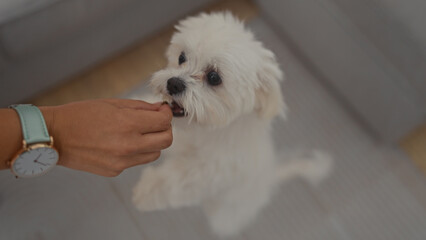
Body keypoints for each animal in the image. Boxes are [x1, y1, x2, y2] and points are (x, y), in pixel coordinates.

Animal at [131, 12, 332, 237]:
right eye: (181, 57)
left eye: (214, 77)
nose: (173, 83)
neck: (204, 130)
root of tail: (270, 176)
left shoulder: (212, 170)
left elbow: (177, 180)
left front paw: (146, 191)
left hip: (228, 213)